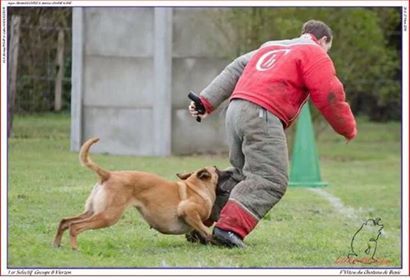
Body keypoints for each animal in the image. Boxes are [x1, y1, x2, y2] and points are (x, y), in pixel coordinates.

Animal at [53, 138, 221, 249]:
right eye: (216, 170)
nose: (216, 165)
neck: (196, 187)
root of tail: (108, 175)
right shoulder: (188, 210)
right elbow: (205, 229)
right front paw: (214, 241)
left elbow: (200, 230)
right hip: (108, 216)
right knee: (75, 226)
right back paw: (74, 248)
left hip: (92, 211)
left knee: (65, 221)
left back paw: (57, 244)